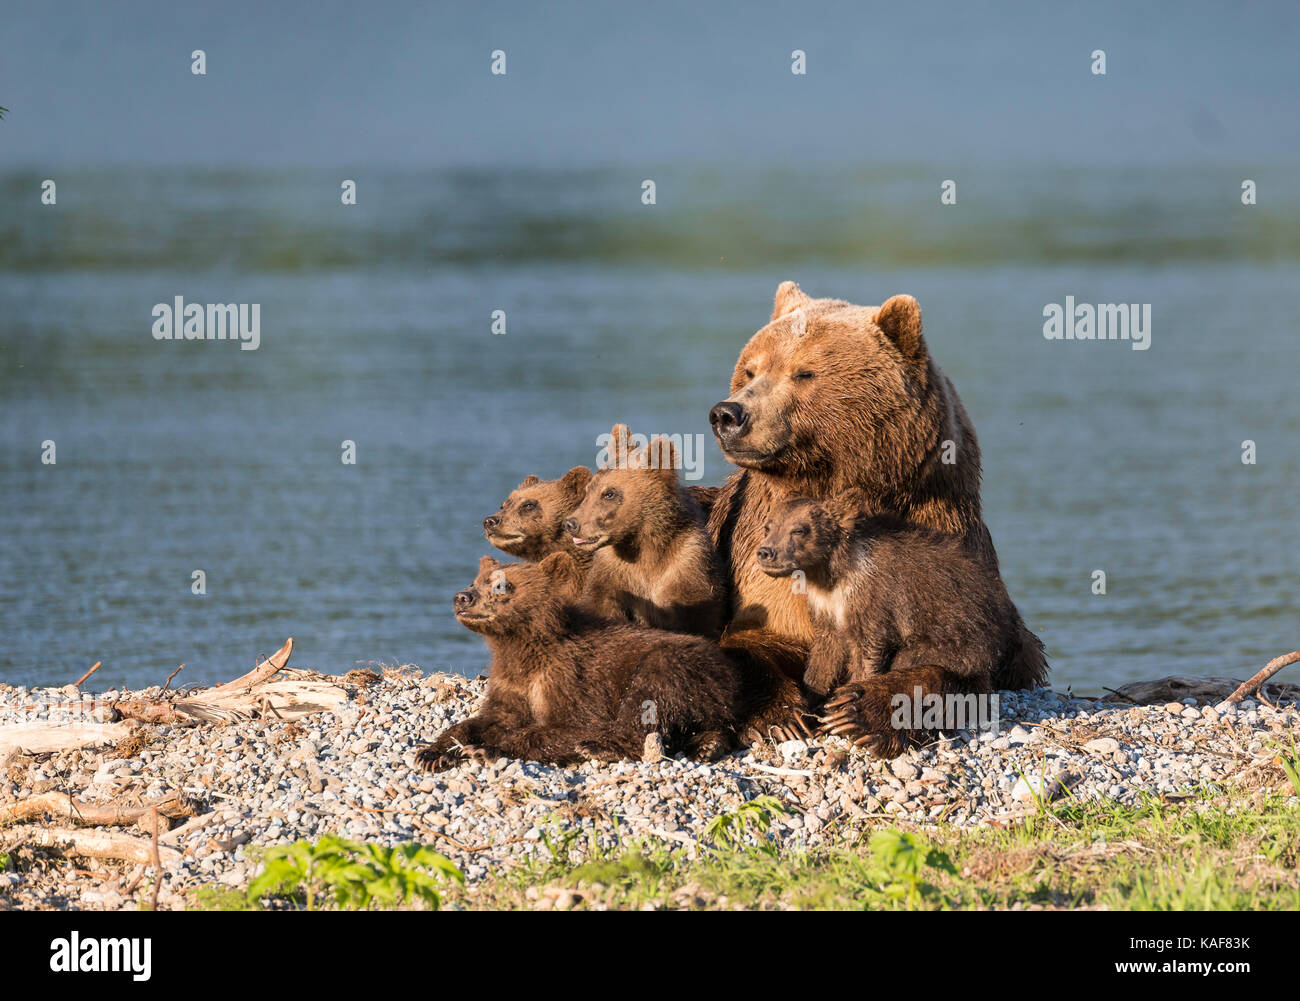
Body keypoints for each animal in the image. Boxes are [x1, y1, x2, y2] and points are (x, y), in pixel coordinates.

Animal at [707, 278, 1050, 748]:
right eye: (750, 370)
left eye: (804, 373)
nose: (728, 413)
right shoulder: (757, 559)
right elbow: (758, 638)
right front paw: (779, 716)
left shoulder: (937, 539)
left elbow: (952, 668)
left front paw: (860, 710)